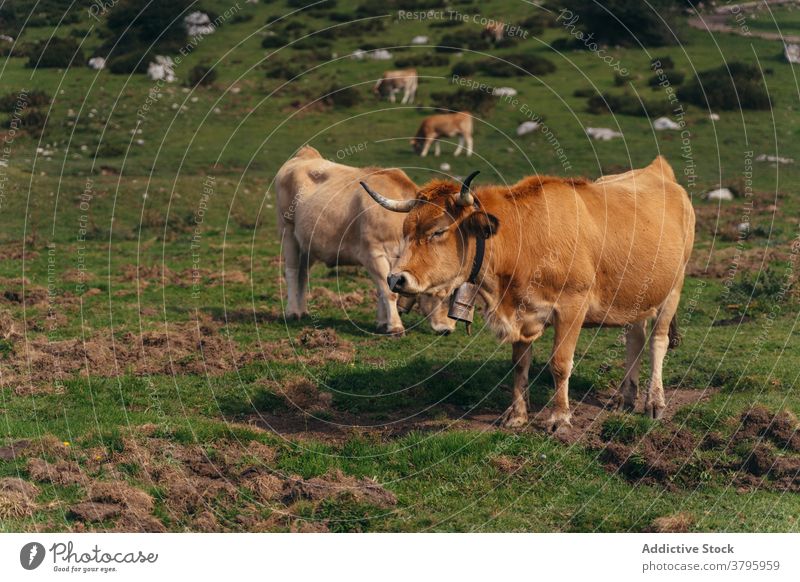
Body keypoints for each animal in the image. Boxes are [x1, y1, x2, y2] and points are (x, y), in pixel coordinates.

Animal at [276, 147, 454, 338]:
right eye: (440, 292)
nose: (448, 329)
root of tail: (305, 154)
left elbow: (382, 290)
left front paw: (382, 324)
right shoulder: (373, 253)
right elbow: (388, 292)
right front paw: (395, 327)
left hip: (307, 244)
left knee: (303, 274)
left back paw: (302, 311)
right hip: (288, 232)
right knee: (292, 272)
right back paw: (293, 312)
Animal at [360, 157, 692, 432]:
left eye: (438, 231)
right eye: (406, 229)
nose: (395, 278)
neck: (524, 238)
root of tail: (659, 170)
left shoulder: (572, 306)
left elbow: (560, 363)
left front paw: (559, 418)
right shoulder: (520, 313)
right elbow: (519, 365)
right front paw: (517, 416)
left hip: (673, 289)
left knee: (657, 342)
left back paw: (654, 402)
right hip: (638, 297)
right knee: (635, 339)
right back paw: (626, 397)